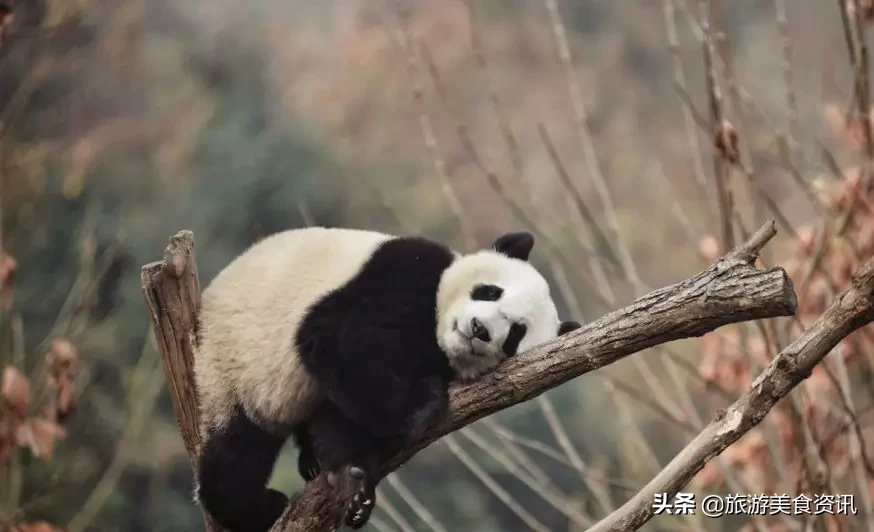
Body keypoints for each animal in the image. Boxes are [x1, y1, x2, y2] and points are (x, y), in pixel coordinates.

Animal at [194, 227, 584, 528]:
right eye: (489, 291)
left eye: (516, 333)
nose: (479, 329)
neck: (437, 339)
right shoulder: (402, 275)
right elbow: (341, 341)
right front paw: (422, 405)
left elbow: (340, 414)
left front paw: (353, 480)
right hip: (232, 366)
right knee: (239, 452)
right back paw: (257, 507)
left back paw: (309, 464)